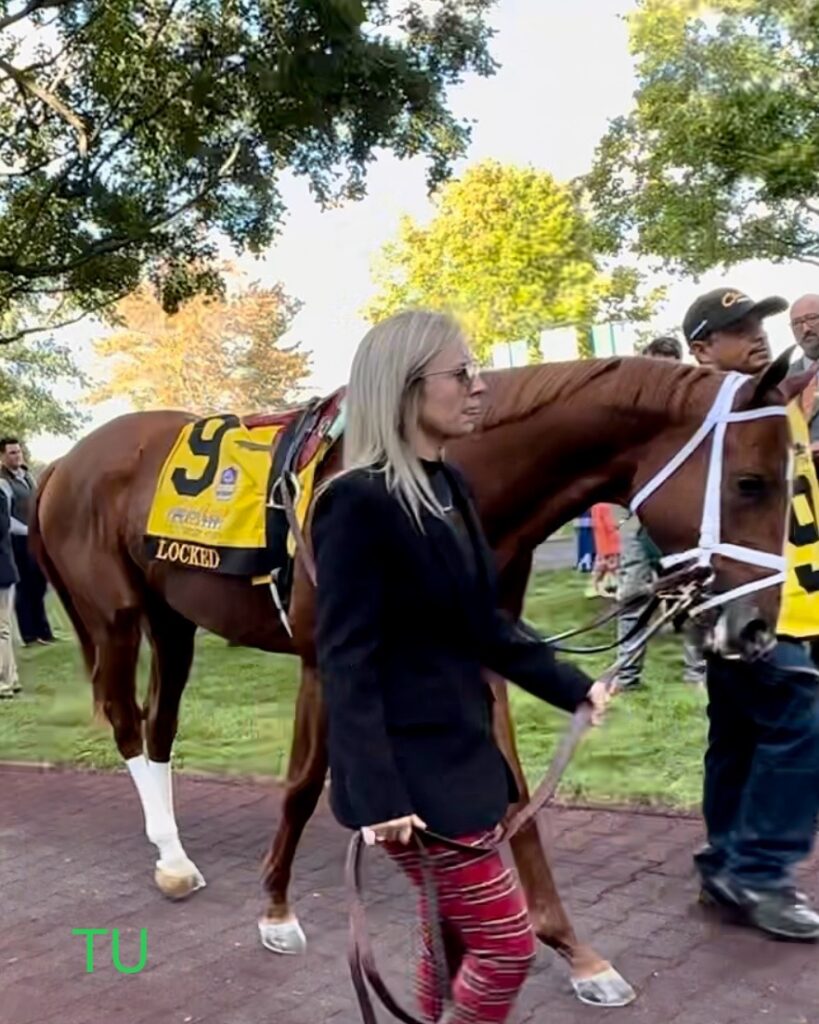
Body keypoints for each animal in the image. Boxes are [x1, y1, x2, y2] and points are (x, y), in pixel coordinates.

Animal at [30, 356, 798, 1003]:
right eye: (749, 483)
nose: (758, 630)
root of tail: (62, 462)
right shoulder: (327, 659)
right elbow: (304, 783)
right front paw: (276, 908)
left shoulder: (480, 648)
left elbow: (515, 794)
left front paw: (575, 952)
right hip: (114, 618)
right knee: (126, 720)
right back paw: (171, 858)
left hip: (173, 619)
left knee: (160, 723)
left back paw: (172, 845)